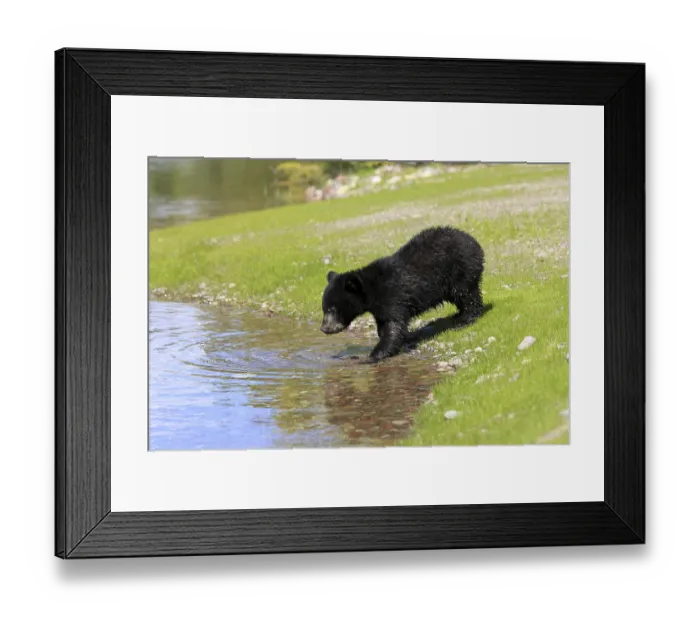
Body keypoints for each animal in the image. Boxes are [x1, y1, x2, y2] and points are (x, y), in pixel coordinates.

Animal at [320, 225, 486, 363]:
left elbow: (394, 325)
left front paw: (371, 356)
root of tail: (474, 242)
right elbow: (383, 325)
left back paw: (466, 319)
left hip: (459, 270)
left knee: (467, 294)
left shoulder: (392, 297)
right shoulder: (379, 308)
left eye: (332, 309)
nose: (324, 328)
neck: (372, 289)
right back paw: (458, 315)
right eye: (324, 308)